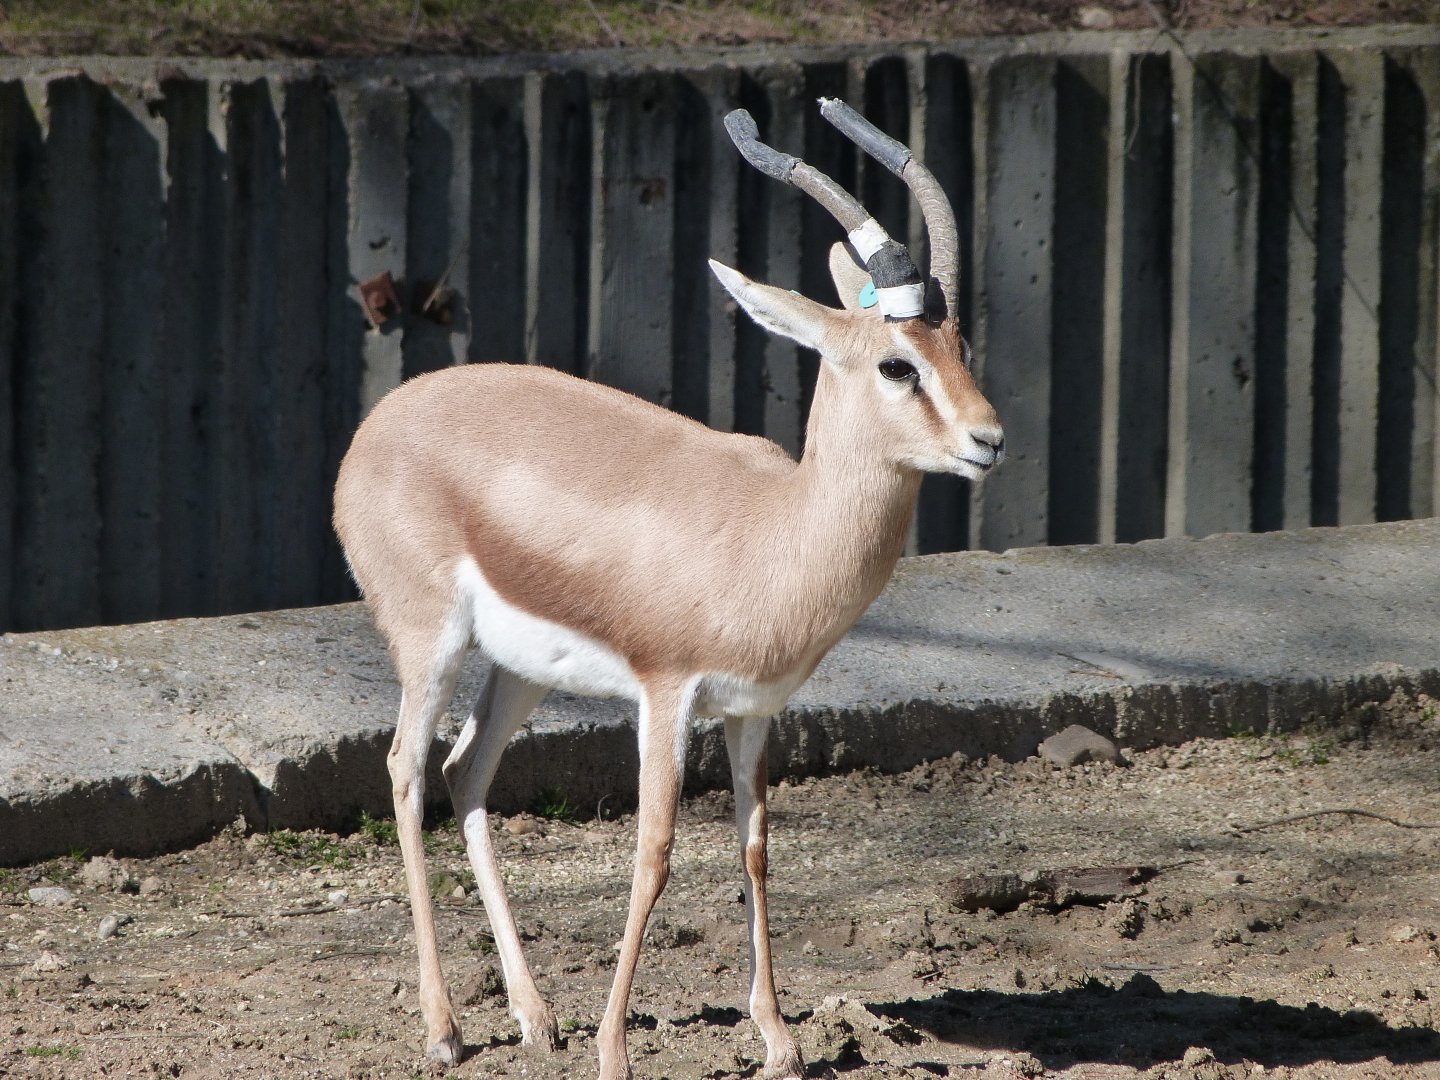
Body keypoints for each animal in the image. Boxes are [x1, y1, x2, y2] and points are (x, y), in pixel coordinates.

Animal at [333, 97, 1003, 1080]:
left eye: (959, 345)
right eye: (895, 364)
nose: (989, 440)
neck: (772, 531)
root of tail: (380, 422)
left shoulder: (754, 710)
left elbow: (755, 847)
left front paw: (780, 1041)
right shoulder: (665, 695)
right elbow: (653, 852)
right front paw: (614, 1050)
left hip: (521, 669)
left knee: (464, 772)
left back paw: (536, 1016)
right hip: (432, 644)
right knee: (406, 772)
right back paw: (445, 1027)